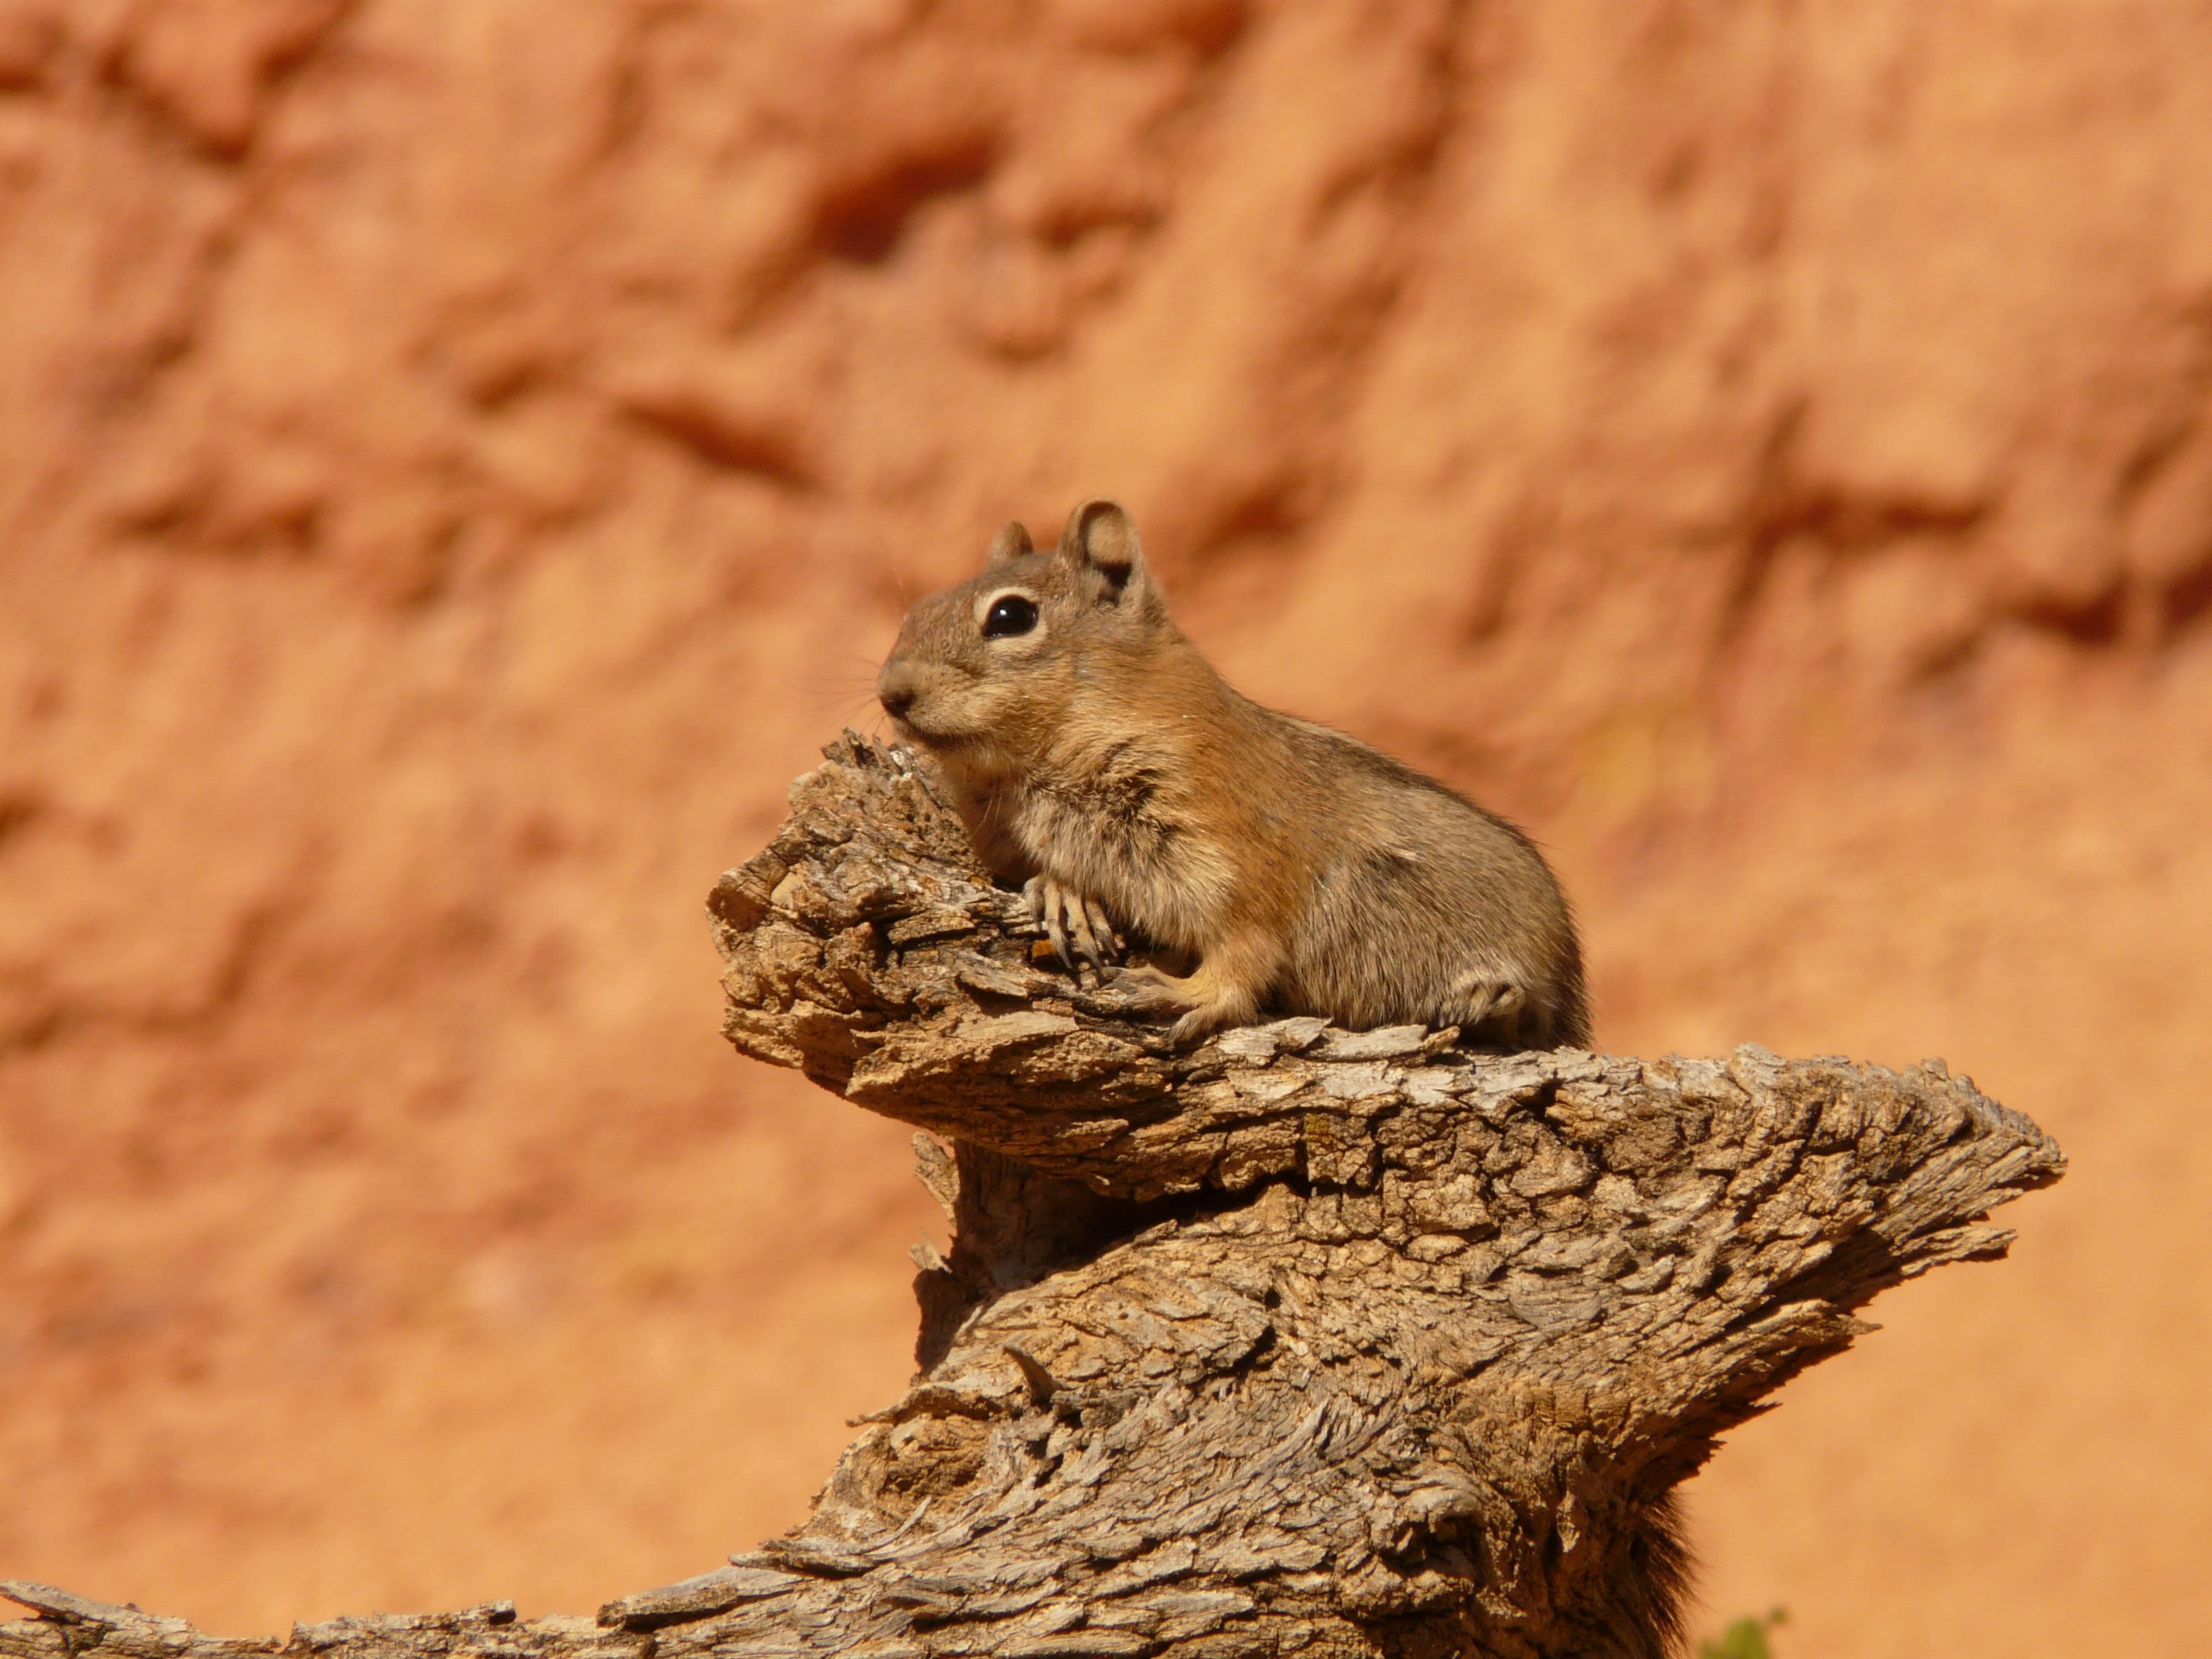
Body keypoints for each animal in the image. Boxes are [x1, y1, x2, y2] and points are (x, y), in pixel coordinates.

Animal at [874, 499, 1589, 1051]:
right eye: (914, 613)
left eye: (1011, 617)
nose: (890, 693)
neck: (1035, 771)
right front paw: (1063, 894)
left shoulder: (1241, 861)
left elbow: (1246, 950)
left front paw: (1186, 992)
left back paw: (1494, 1000)